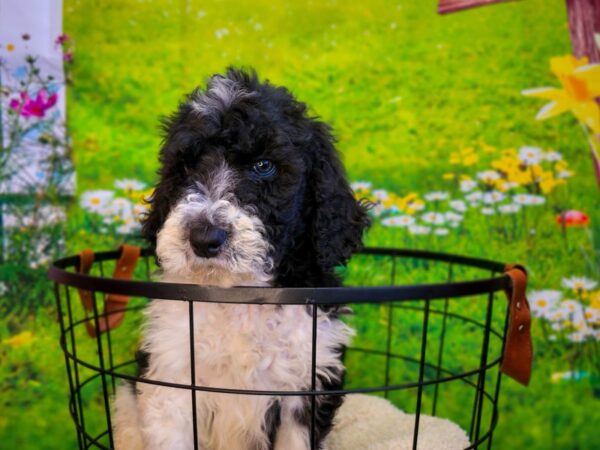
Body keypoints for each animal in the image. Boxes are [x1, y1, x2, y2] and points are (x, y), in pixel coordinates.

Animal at [110, 67, 368, 450]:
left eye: (263, 165)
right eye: (185, 167)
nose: (204, 238)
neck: (238, 294)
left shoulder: (306, 386)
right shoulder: (172, 380)